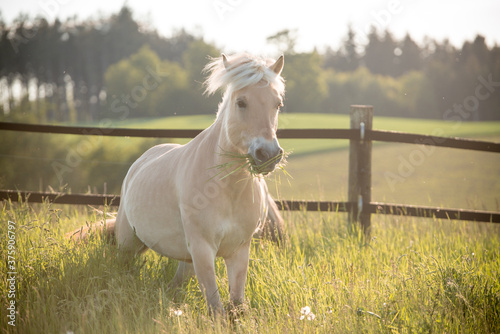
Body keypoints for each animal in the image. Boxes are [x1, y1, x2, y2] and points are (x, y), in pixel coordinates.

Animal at [72, 53, 288, 314]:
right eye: (241, 102)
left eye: (277, 104)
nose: (269, 155)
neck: (227, 191)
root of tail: (141, 161)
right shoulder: (203, 250)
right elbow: (216, 309)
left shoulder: (238, 251)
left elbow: (236, 306)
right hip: (127, 243)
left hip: (186, 260)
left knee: (174, 285)